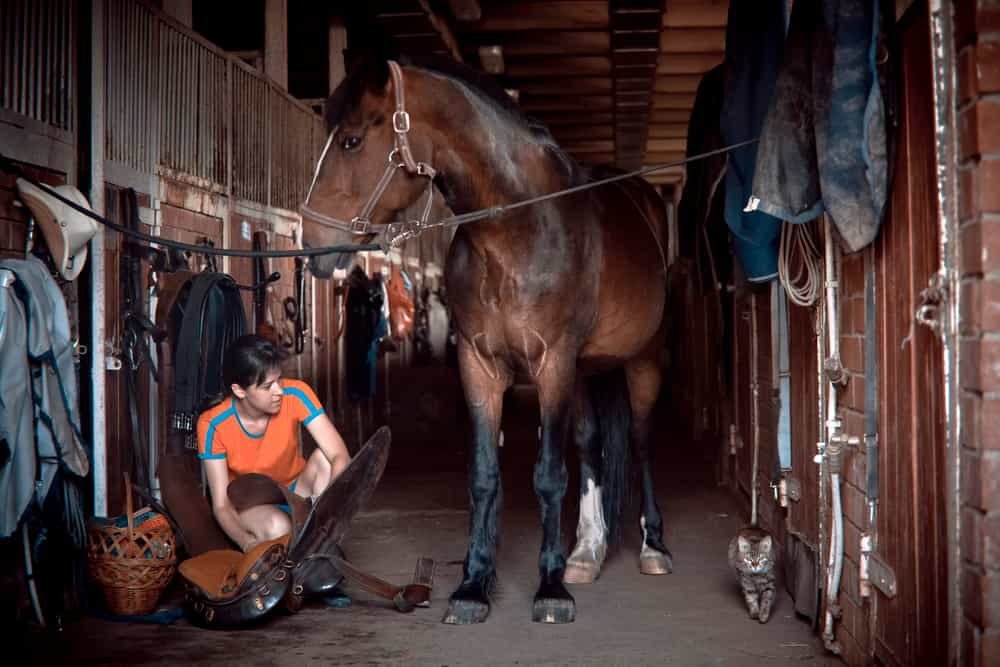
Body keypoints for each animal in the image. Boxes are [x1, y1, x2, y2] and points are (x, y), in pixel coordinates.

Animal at [300, 57, 668, 628]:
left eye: (352, 141)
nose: (311, 242)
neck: (517, 230)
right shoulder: (479, 364)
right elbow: (484, 474)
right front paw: (473, 586)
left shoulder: (552, 363)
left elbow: (549, 475)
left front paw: (551, 590)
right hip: (585, 369)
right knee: (590, 444)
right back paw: (587, 552)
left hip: (641, 358)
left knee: (642, 439)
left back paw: (652, 547)